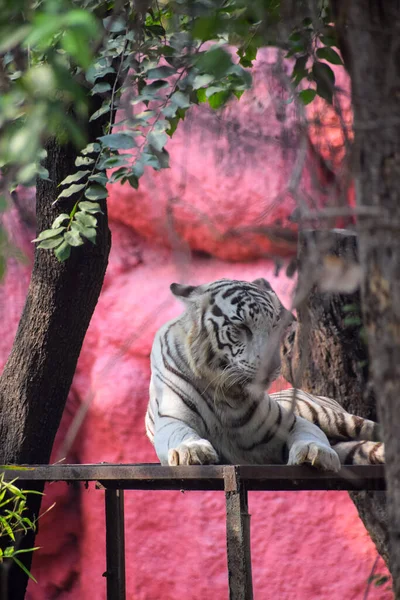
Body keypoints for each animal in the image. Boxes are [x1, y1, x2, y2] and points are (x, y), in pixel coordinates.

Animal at [145, 278, 382, 472]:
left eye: (275, 326)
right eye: (241, 326)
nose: (273, 365)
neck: (226, 393)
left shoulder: (290, 421)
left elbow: (311, 434)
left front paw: (316, 452)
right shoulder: (172, 419)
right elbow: (180, 434)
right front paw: (192, 450)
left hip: (332, 417)